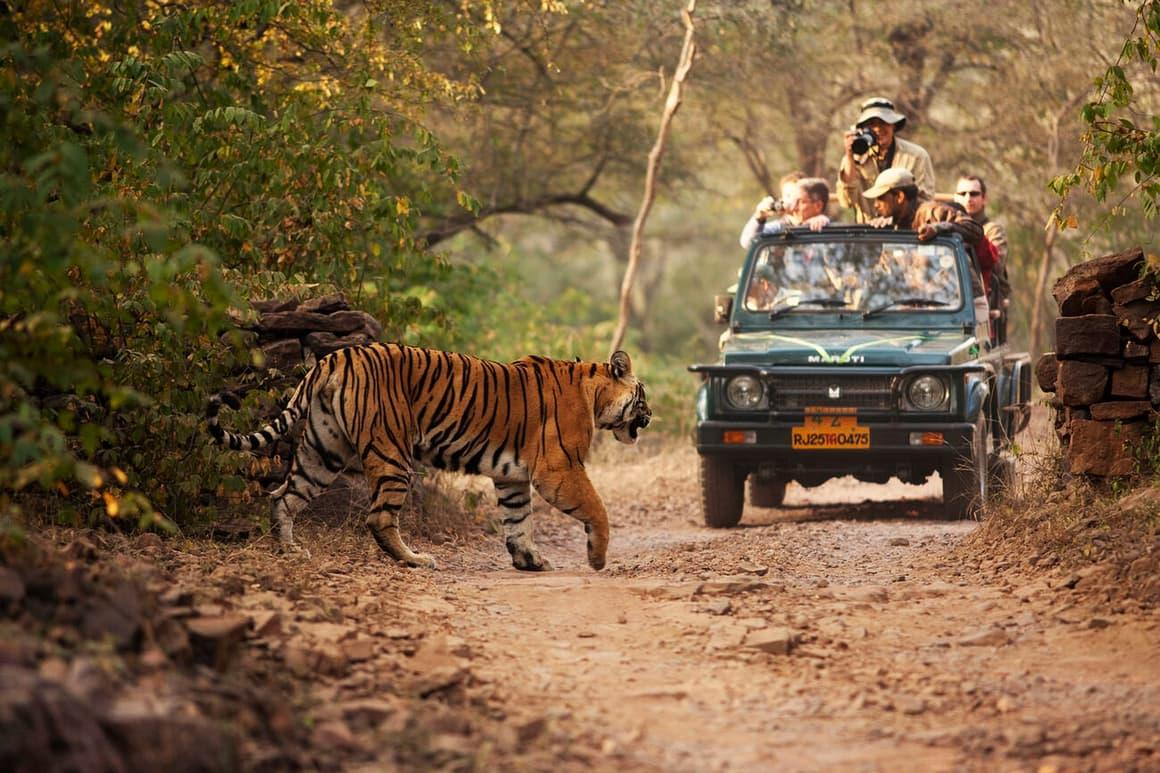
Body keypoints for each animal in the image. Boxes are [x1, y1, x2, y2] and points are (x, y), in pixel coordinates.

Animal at [206, 343, 651, 571]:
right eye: (643, 396)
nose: (650, 416)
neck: (594, 395)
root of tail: (335, 357)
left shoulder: (512, 475)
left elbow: (518, 518)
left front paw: (529, 560)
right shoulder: (559, 468)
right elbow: (597, 509)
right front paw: (598, 559)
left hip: (323, 452)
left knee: (282, 497)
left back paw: (289, 551)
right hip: (392, 453)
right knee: (379, 518)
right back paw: (416, 559)